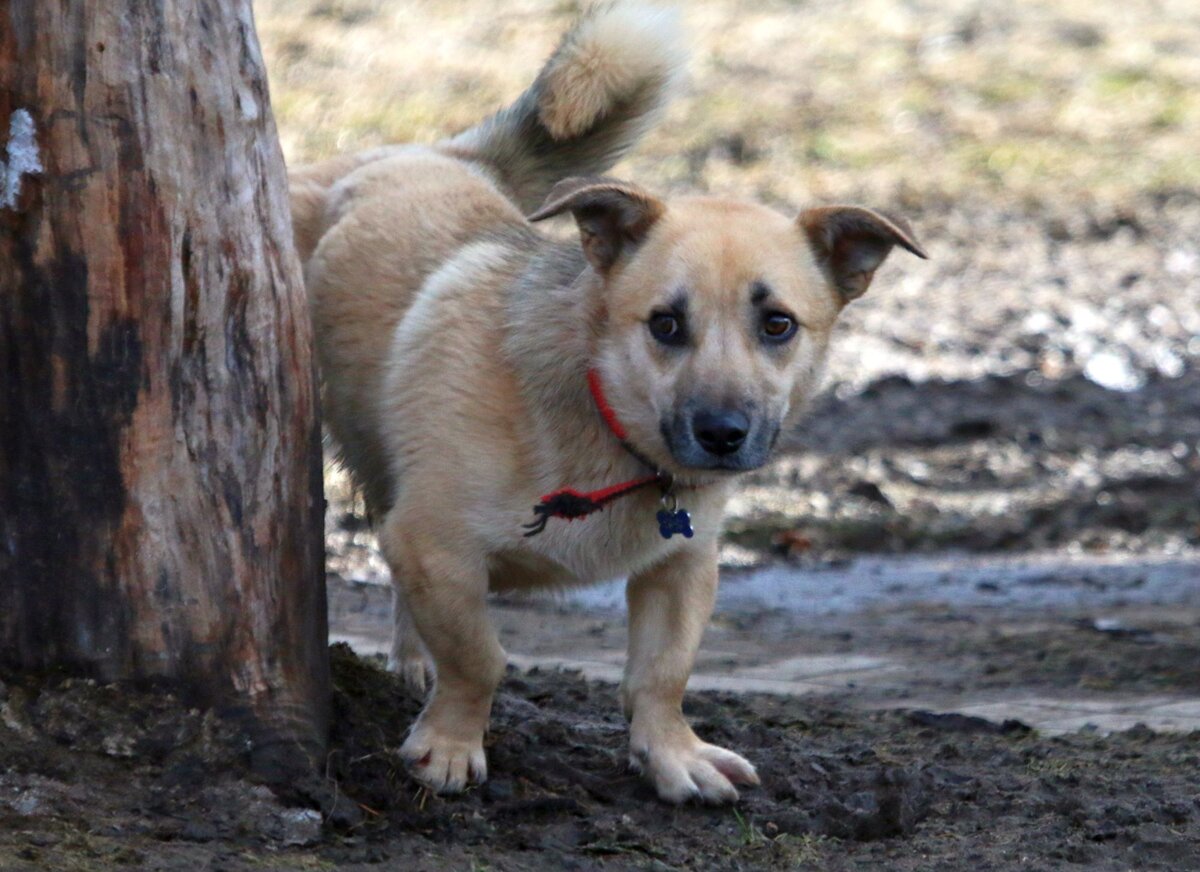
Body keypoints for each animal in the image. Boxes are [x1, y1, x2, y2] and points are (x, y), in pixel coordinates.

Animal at [290, 1, 926, 806]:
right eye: (665, 324)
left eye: (778, 324)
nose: (722, 433)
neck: (609, 435)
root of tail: (434, 153)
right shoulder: (433, 544)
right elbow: (481, 657)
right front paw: (452, 744)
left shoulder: (682, 566)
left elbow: (663, 673)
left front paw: (671, 755)